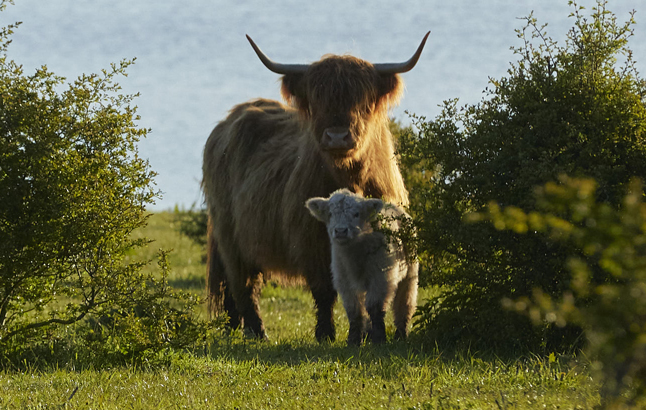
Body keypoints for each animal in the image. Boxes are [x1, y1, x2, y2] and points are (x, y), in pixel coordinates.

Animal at [306, 189, 419, 345]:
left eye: (356, 214)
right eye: (330, 214)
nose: (340, 231)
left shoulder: (381, 277)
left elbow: (375, 306)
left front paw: (379, 339)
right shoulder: (343, 280)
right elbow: (354, 310)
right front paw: (354, 340)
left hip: (410, 274)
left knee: (404, 303)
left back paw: (401, 334)